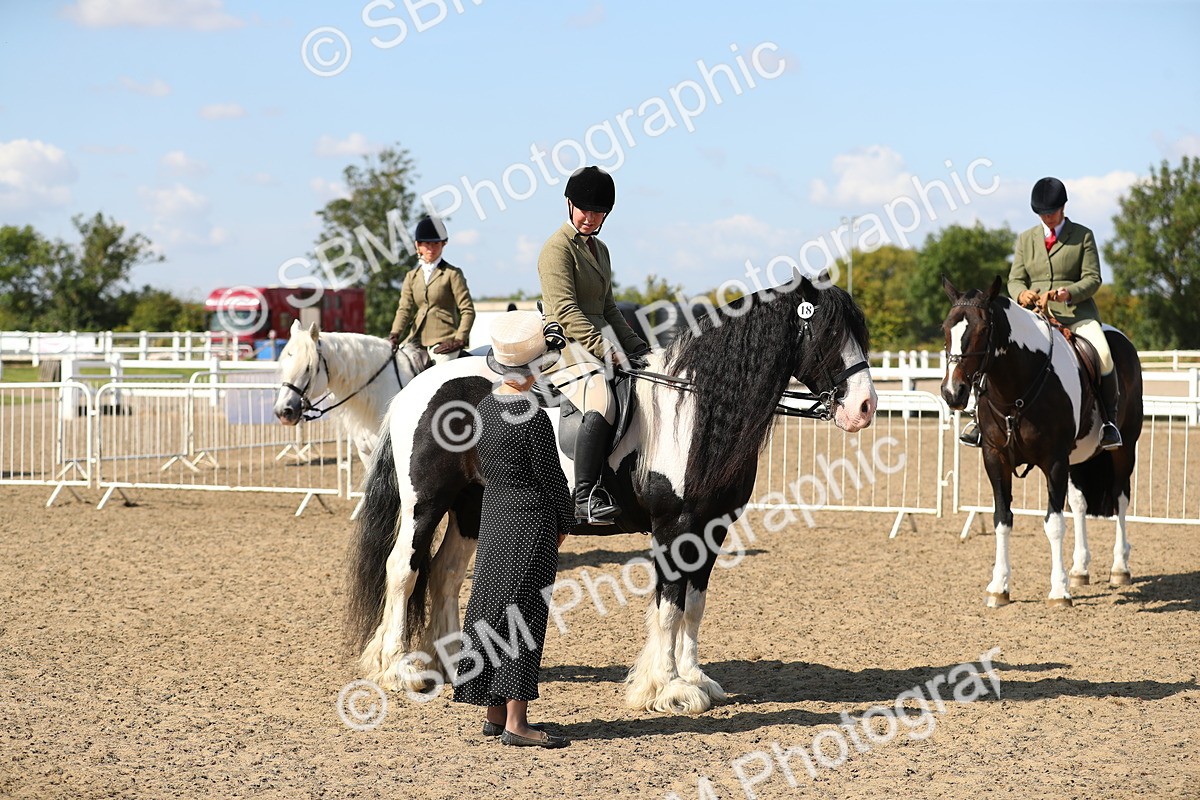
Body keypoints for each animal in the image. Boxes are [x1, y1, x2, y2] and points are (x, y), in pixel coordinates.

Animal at [346, 274, 878, 714]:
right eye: (827, 333)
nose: (866, 407)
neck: (693, 410)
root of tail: (417, 388)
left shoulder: (711, 527)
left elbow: (694, 605)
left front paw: (695, 680)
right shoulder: (674, 527)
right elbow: (669, 605)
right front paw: (666, 688)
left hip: (470, 507)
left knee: (445, 573)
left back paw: (455, 662)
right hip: (427, 503)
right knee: (404, 571)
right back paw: (399, 670)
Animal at [940, 275, 1143, 608]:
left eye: (982, 330)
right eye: (946, 329)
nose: (951, 392)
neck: (1015, 390)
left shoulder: (1055, 461)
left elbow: (1055, 524)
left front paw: (1059, 591)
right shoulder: (995, 458)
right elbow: (1002, 519)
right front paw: (999, 587)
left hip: (1124, 449)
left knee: (1121, 498)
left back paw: (1119, 568)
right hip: (1078, 458)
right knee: (1079, 503)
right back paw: (1080, 569)